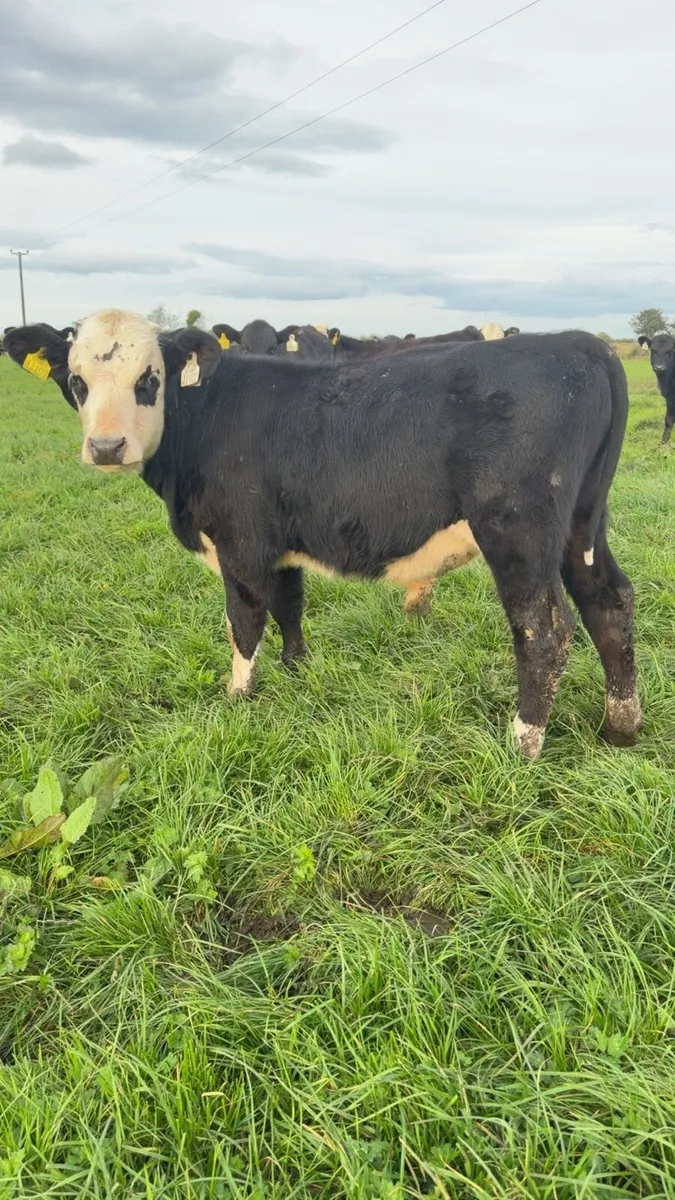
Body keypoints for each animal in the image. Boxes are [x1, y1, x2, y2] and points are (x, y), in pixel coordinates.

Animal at [4, 311, 640, 760]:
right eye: (76, 380)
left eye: (149, 378)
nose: (107, 446)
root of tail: (579, 343)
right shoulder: (281, 542)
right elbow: (289, 606)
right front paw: (297, 674)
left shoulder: (241, 543)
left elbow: (244, 620)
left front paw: (238, 698)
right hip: (582, 526)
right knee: (609, 602)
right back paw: (621, 727)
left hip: (519, 531)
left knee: (543, 630)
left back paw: (523, 742)